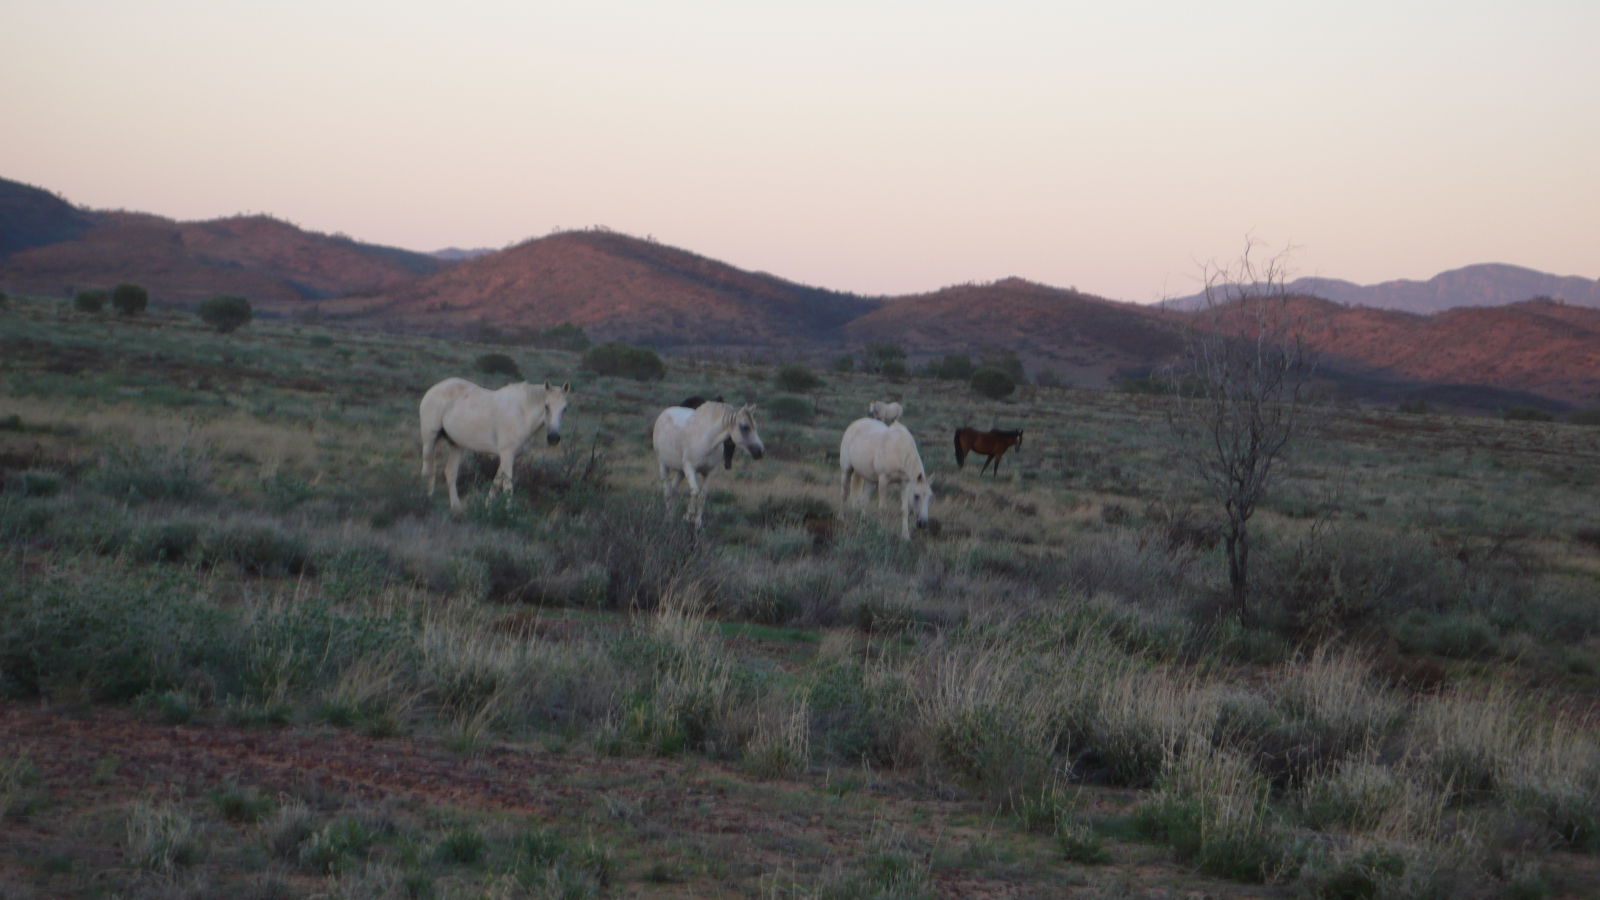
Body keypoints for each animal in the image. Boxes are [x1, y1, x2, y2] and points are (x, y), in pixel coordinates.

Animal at [422, 373, 572, 512]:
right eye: (546, 406)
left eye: (565, 409)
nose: (553, 438)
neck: (522, 412)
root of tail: (433, 389)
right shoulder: (507, 453)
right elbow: (507, 484)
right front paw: (509, 512)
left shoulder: (509, 455)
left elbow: (497, 481)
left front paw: (487, 506)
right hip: (429, 439)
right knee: (428, 469)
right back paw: (427, 499)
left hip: (456, 445)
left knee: (450, 473)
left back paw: (456, 507)